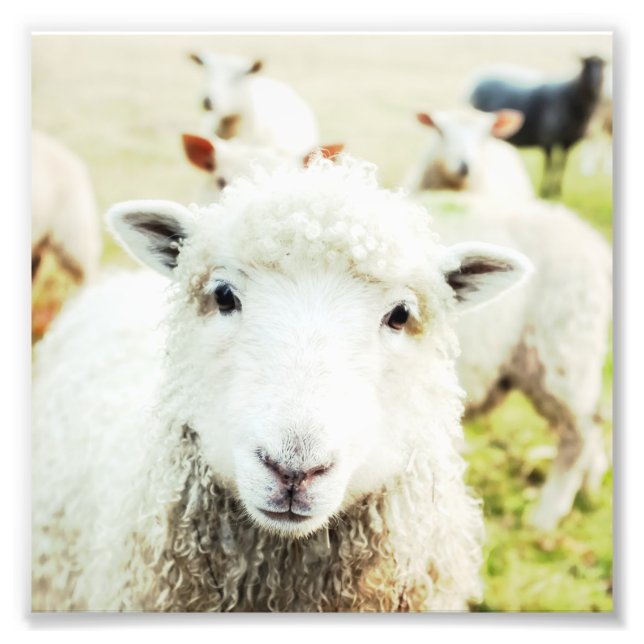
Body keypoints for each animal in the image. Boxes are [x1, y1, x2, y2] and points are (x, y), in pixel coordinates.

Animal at [469, 55, 606, 197]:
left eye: (603, 66)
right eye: (586, 66)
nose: (594, 84)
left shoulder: (568, 143)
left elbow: (562, 166)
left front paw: (557, 191)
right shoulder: (547, 140)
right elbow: (549, 166)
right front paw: (545, 191)